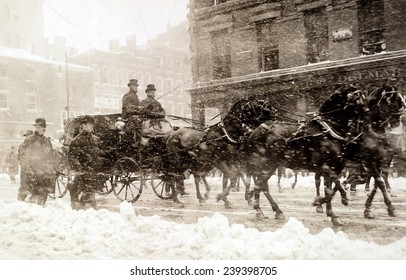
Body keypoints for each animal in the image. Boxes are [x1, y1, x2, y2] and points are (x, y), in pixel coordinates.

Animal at [244, 86, 368, 226]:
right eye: (357, 100)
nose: (369, 116)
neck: (327, 132)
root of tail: (255, 131)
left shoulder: (335, 168)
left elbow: (331, 189)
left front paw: (331, 214)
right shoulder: (324, 166)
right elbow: (335, 185)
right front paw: (338, 200)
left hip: (271, 165)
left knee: (262, 185)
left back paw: (275, 210)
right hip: (266, 163)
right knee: (260, 184)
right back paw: (259, 210)